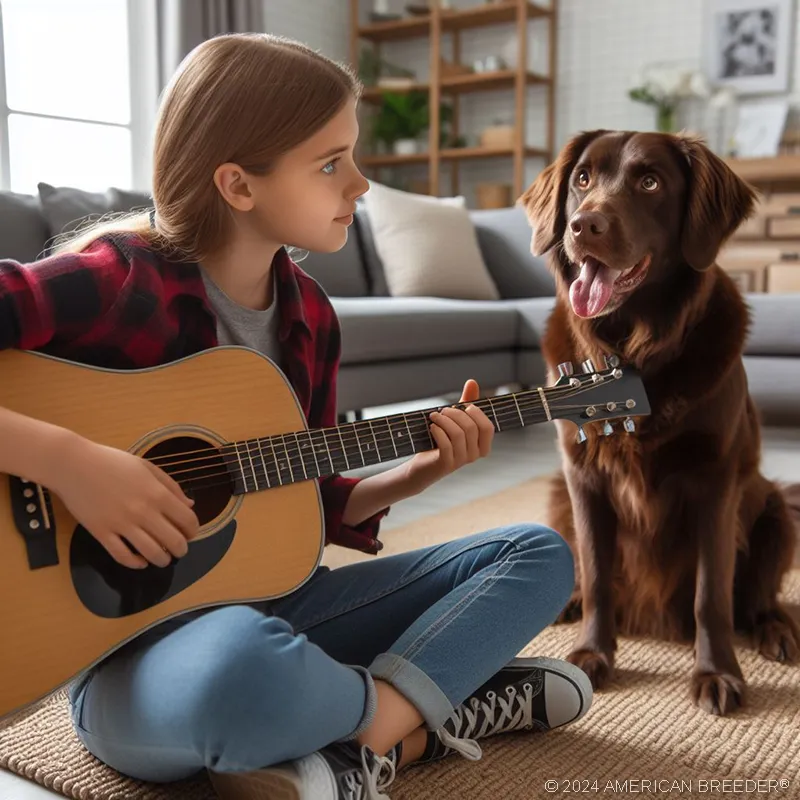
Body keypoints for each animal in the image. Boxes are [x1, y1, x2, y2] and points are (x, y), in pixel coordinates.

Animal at [520, 128, 800, 716]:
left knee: (758, 598)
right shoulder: (582, 478)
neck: (635, 352)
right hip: (557, 495)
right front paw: (593, 654)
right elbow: (598, 575)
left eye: (650, 182)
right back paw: (566, 601)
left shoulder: (716, 482)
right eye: (583, 179)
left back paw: (777, 630)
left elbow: (711, 594)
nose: (584, 226)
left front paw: (717, 672)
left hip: (776, 510)